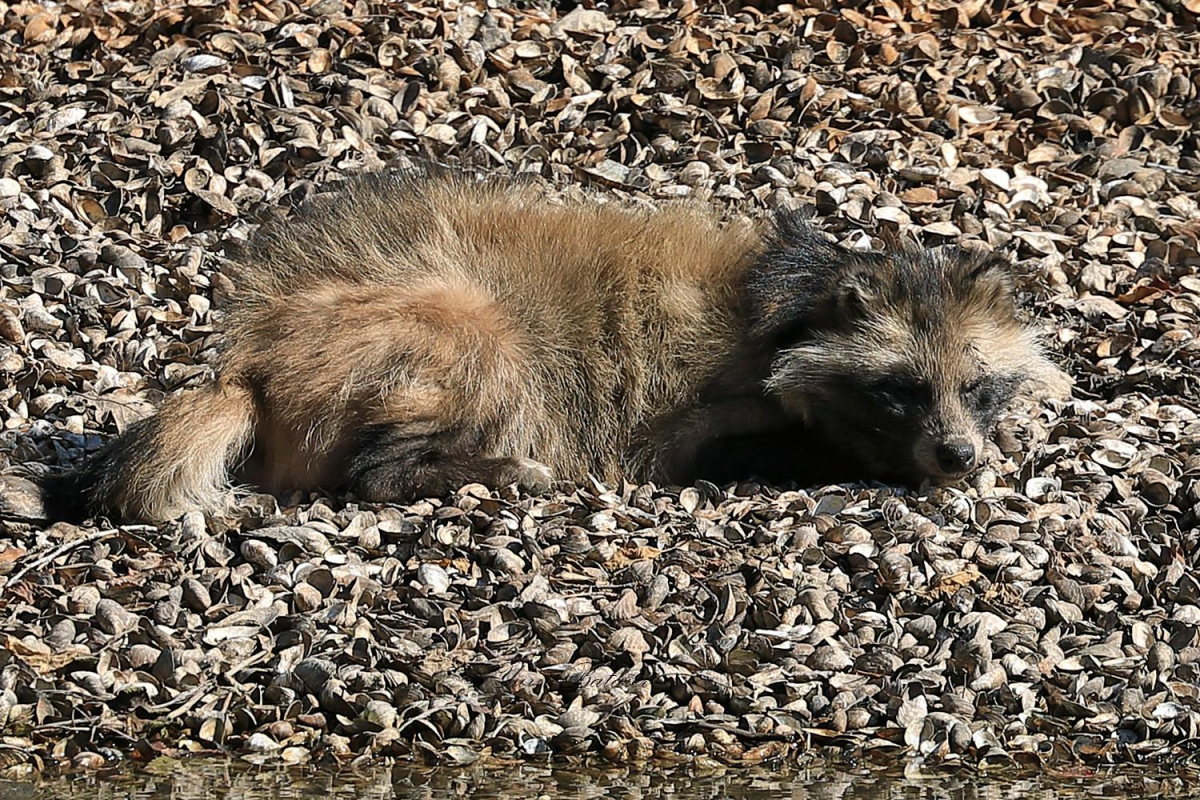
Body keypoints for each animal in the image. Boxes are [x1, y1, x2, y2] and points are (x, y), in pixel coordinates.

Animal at [39, 167, 1070, 525]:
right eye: (903, 387)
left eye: (977, 386)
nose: (959, 454)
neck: (795, 293)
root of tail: (249, 366)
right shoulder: (689, 404)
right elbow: (732, 442)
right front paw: (838, 458)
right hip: (434, 324)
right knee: (464, 375)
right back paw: (474, 467)